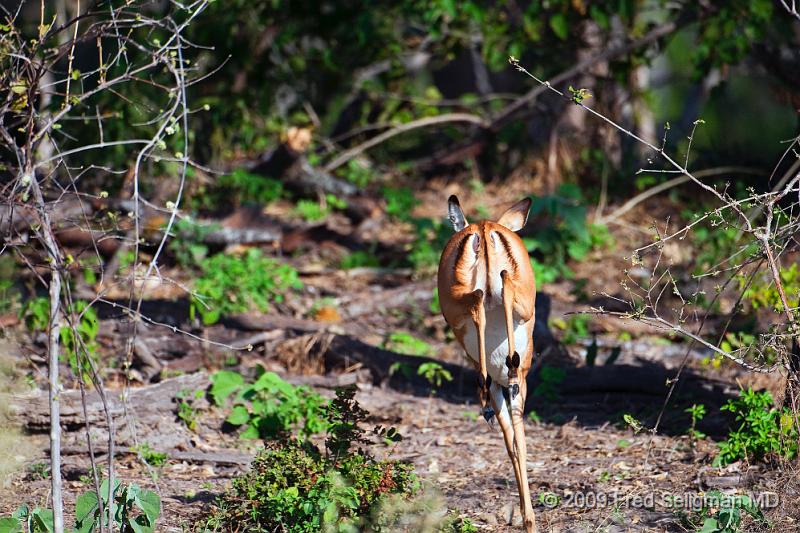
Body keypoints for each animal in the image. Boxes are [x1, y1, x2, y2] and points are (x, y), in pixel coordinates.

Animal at [438, 196, 536, 532]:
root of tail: (482, 227)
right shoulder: (512, 391)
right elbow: (516, 442)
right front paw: (528, 518)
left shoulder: (506, 392)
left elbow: (513, 442)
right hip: (513, 303)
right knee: (493, 290)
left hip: (460, 303)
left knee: (482, 296)